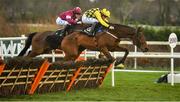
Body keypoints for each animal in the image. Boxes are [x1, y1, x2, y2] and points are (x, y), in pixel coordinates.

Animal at [18, 23, 148, 65]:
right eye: (140, 37)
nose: (146, 48)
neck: (112, 31)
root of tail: (37, 33)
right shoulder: (103, 47)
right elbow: (111, 58)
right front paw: (115, 63)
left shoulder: (113, 47)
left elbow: (126, 50)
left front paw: (120, 62)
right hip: (39, 50)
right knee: (28, 54)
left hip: (44, 50)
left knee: (29, 53)